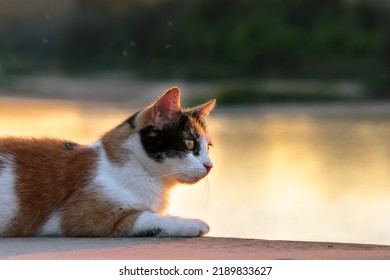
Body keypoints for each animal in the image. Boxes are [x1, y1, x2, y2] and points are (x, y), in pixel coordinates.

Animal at [0, 87, 215, 236]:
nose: (210, 165)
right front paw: (193, 223)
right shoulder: (82, 216)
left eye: (208, 148)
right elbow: (150, 218)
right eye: (189, 143)